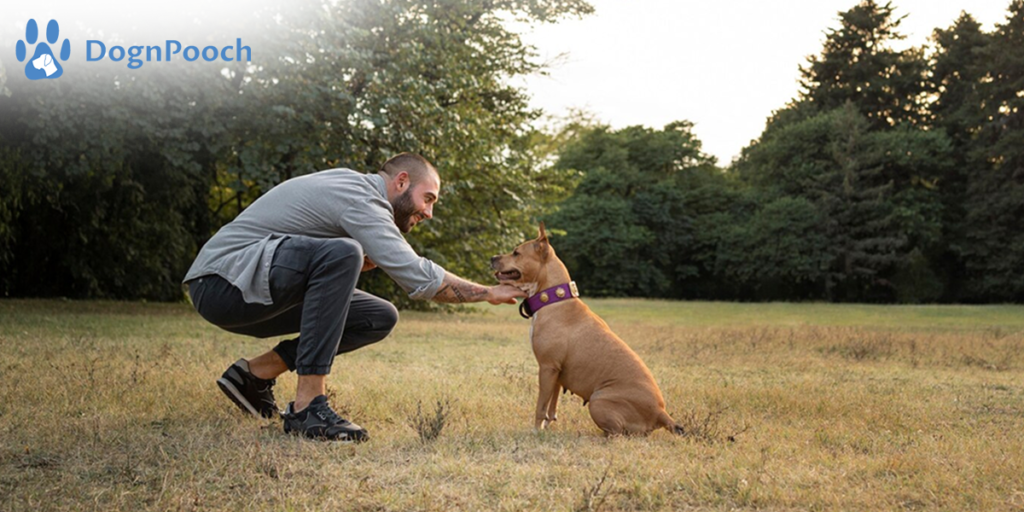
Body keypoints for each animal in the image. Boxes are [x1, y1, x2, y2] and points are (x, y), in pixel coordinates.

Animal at [491, 224, 684, 436]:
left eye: (516, 253)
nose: (492, 258)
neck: (553, 299)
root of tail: (661, 412)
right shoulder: (556, 372)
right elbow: (552, 404)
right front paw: (548, 425)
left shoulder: (547, 367)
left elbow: (541, 406)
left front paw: (536, 431)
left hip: (598, 400)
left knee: (617, 433)